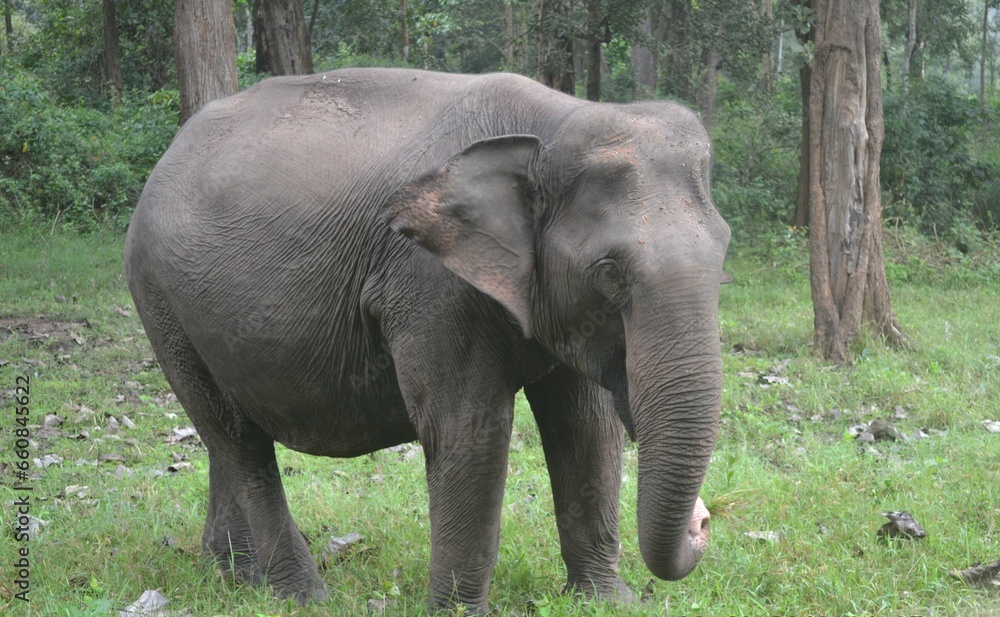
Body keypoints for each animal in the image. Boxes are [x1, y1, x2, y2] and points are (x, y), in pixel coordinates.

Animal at [124, 68, 730, 614]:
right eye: (608, 272)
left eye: (724, 248)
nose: (703, 521)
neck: (553, 122)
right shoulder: (429, 284)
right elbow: (470, 431)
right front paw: (461, 613)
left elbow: (587, 427)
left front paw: (605, 603)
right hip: (159, 299)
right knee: (237, 440)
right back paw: (300, 596)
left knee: (227, 433)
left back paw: (236, 575)